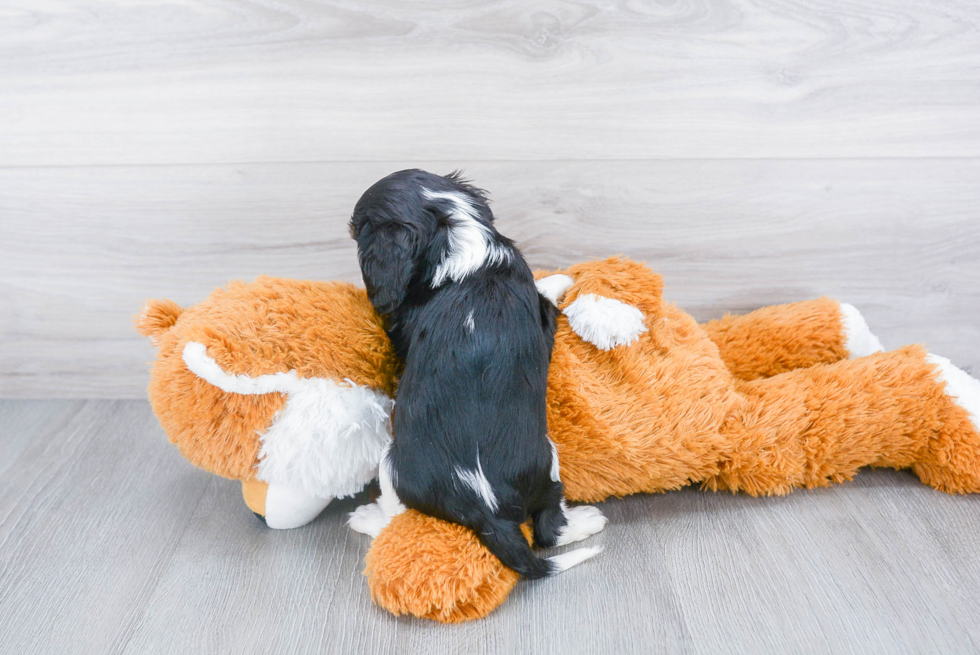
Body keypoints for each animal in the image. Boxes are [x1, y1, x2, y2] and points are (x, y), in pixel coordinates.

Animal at [344, 170, 604, 580]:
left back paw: (365, 518)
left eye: (356, 231)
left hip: (393, 462)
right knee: (549, 527)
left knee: (396, 514)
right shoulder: (539, 314)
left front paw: (560, 277)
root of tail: (488, 511)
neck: (458, 233)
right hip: (547, 459)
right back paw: (588, 521)